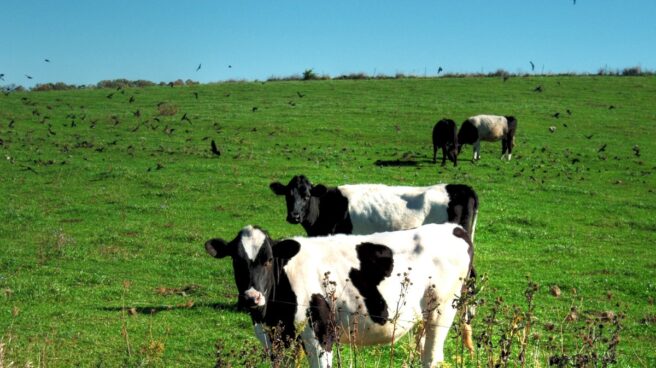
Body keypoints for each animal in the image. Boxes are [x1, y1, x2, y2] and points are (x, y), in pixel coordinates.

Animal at [204, 223, 472, 366]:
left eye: (269, 259)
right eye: (236, 261)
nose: (252, 297)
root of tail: (453, 228)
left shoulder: (321, 333)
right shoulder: (273, 339)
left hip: (441, 312)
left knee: (432, 357)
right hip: (423, 319)